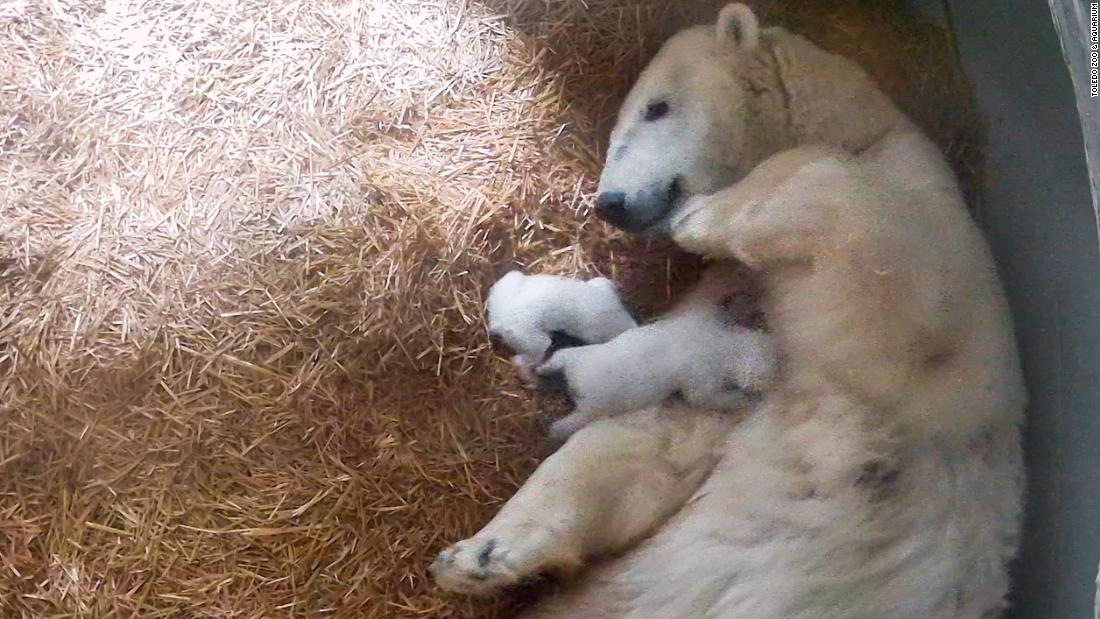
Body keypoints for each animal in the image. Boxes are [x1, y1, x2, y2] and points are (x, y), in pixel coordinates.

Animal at [429, 6, 1020, 619]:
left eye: (656, 107)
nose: (610, 203)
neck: (858, 131)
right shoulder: (723, 323)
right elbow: (653, 441)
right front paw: (477, 556)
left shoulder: (944, 260)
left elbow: (885, 303)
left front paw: (702, 218)